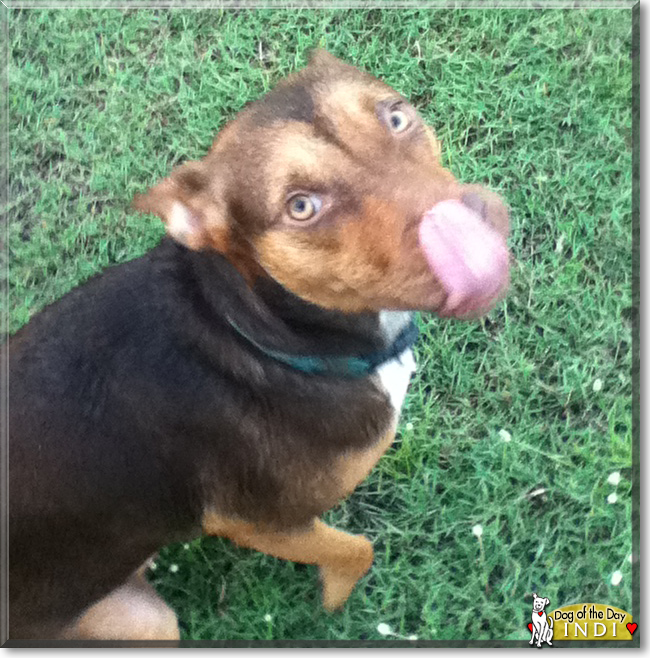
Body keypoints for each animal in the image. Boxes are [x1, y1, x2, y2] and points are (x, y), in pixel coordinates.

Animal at [7, 52, 508, 640]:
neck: (258, 333)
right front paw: (332, 610)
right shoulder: (257, 521)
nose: (474, 229)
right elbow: (355, 549)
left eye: (396, 117)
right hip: (146, 621)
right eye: (301, 207)